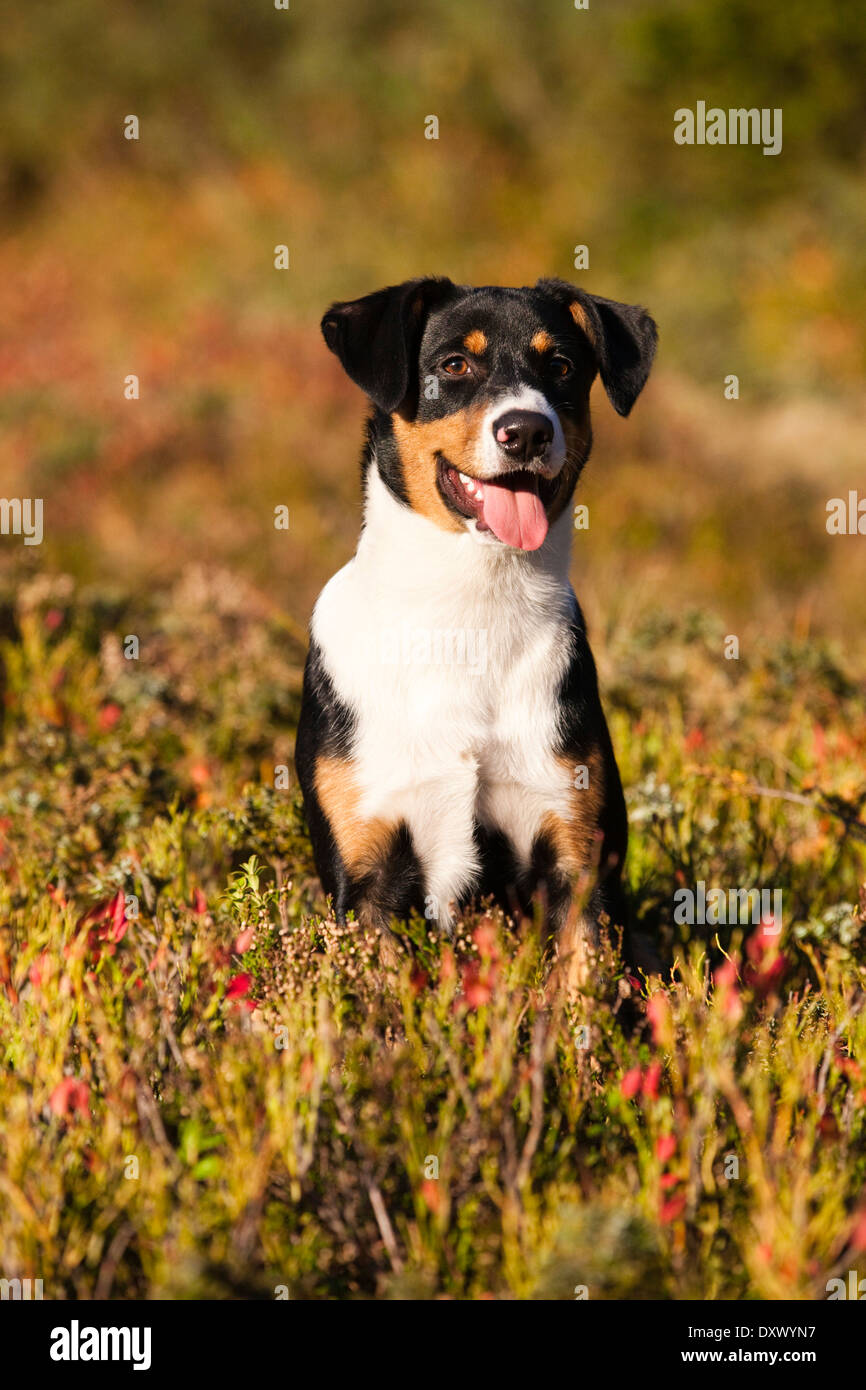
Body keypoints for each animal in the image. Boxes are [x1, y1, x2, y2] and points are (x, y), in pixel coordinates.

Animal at [296, 276, 656, 984]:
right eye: (454, 364)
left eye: (561, 366)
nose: (527, 431)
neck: (469, 615)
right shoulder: (366, 876)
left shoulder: (578, 863)